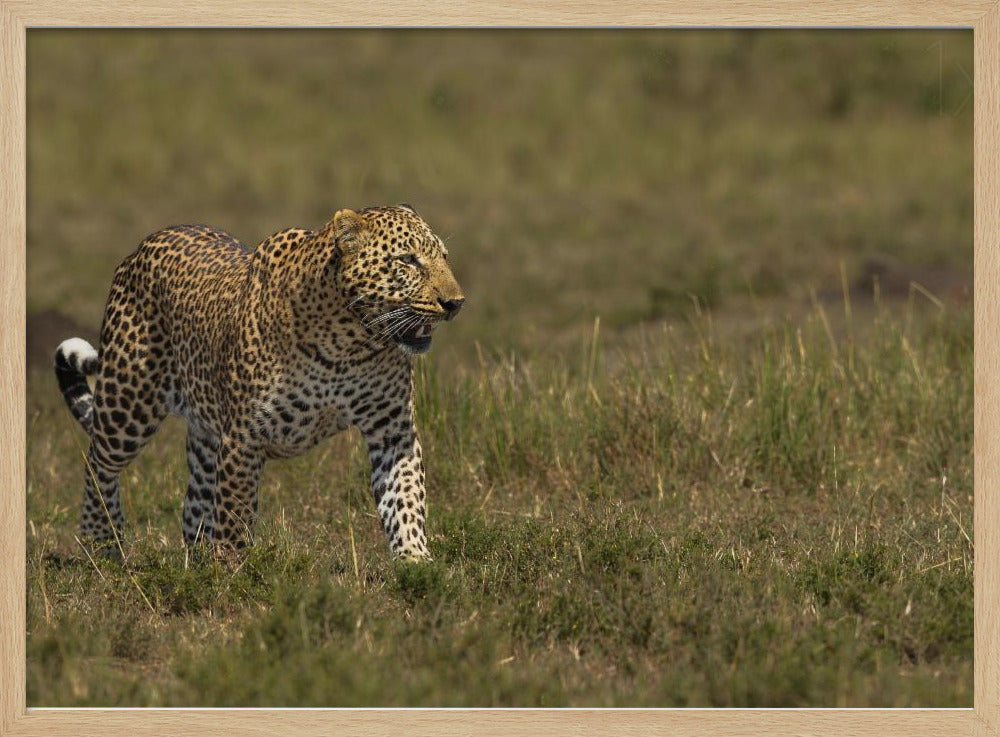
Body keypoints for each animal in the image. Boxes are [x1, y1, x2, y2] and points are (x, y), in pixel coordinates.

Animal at [53, 205, 464, 561]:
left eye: (444, 257)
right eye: (408, 260)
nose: (455, 302)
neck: (349, 342)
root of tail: (141, 246)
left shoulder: (392, 430)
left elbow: (405, 497)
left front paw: (415, 561)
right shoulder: (244, 438)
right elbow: (235, 515)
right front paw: (234, 575)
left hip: (205, 432)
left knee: (194, 504)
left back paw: (196, 561)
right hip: (129, 402)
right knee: (98, 463)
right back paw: (102, 544)